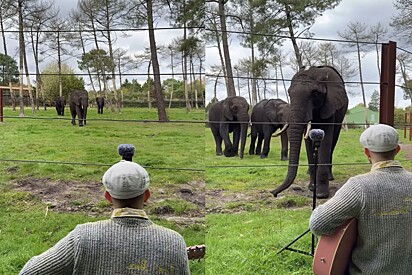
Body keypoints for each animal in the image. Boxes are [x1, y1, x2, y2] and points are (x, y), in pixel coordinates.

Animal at [270, 67, 348, 201]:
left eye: (315, 93)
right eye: (289, 94)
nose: (273, 193)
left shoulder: (330, 105)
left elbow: (326, 140)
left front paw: (321, 195)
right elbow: (308, 141)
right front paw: (312, 188)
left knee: (333, 141)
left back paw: (330, 177)